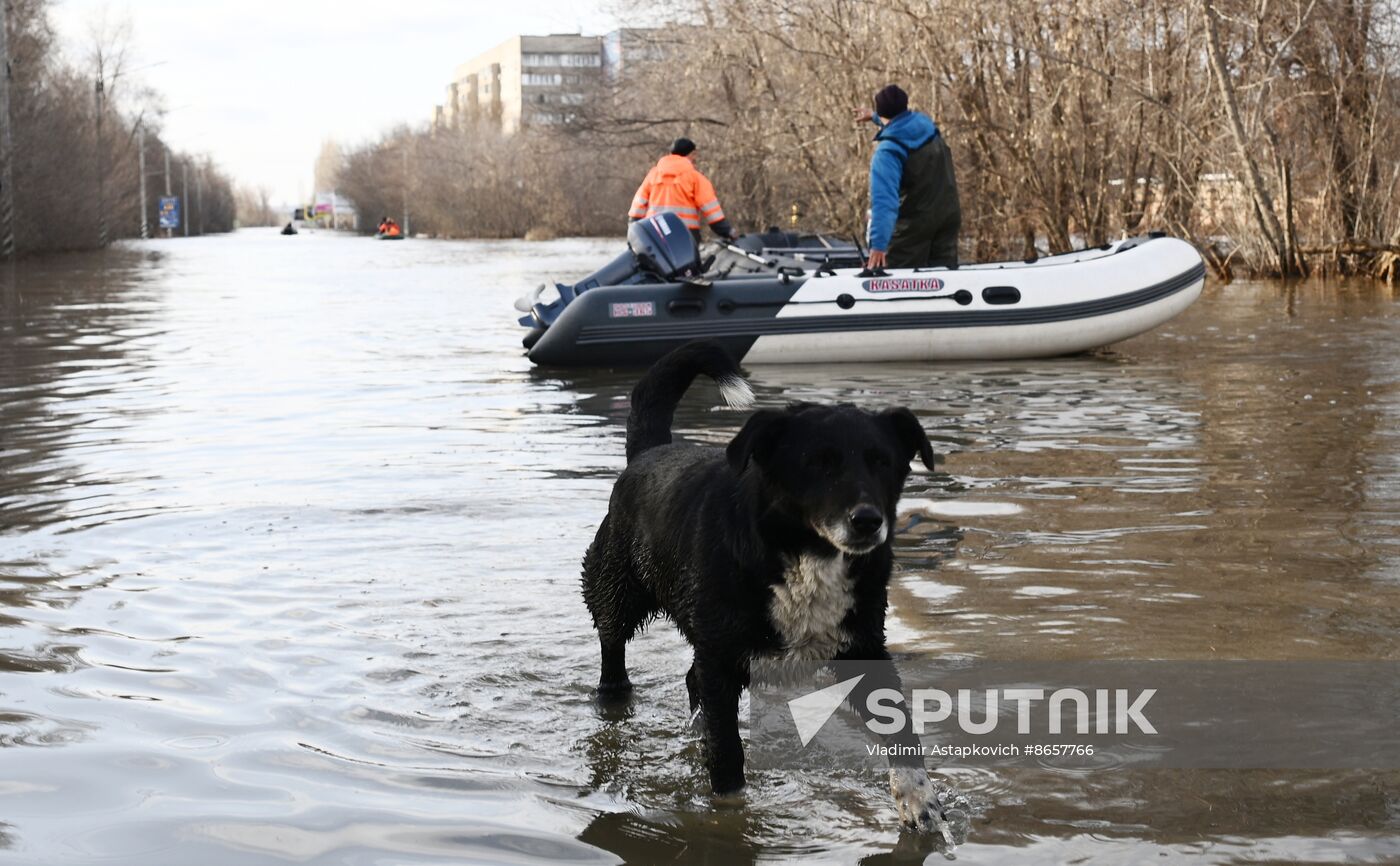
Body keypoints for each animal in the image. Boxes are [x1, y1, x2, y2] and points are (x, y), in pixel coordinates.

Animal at [579, 339, 952, 833]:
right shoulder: (721, 658)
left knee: (691, 680)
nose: (868, 521)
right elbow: (727, 756)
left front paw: (920, 802)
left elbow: (901, 729)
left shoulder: (863, 646)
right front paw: (729, 818)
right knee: (613, 647)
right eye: (818, 463)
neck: (806, 555)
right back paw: (615, 694)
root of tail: (649, 452)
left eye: (882, 462)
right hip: (616, 590)